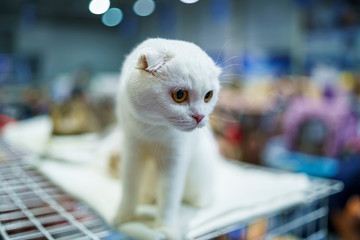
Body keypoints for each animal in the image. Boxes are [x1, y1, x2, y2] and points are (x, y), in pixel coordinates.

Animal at [114, 38, 222, 239]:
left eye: (208, 95)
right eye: (179, 95)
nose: (200, 117)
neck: (152, 129)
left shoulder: (174, 160)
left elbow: (168, 198)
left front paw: (165, 229)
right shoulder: (132, 151)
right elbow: (129, 187)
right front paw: (124, 216)